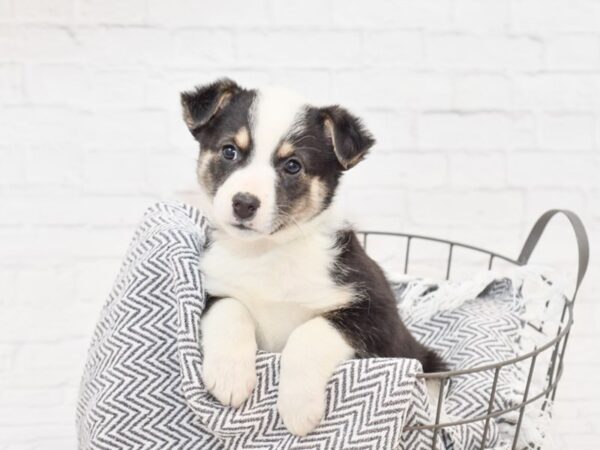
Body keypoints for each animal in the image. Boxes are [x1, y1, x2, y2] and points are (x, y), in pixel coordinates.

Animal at [180, 79, 442, 438]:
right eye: (229, 150)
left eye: (292, 165)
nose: (244, 203)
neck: (268, 251)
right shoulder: (213, 286)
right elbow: (230, 307)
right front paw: (230, 375)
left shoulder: (376, 312)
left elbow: (310, 331)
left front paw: (298, 407)